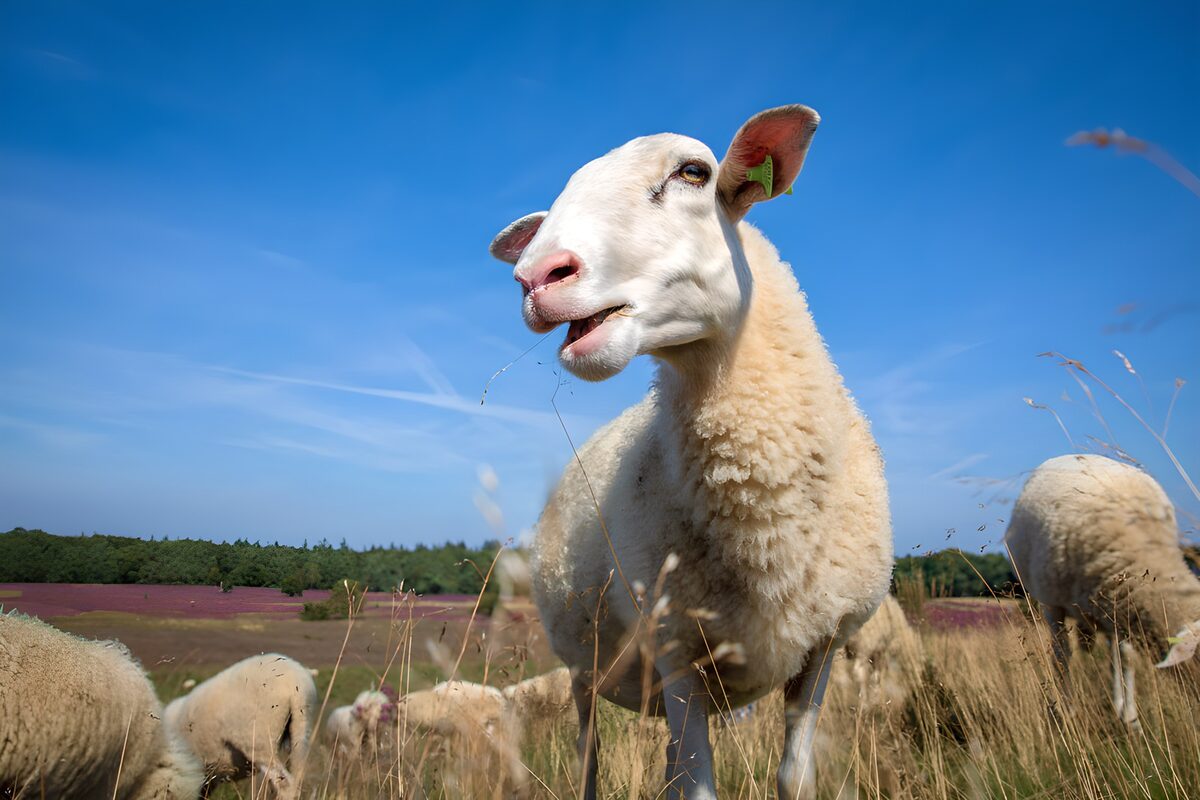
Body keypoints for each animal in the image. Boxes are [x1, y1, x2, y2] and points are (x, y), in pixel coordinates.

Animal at [488, 105, 893, 800]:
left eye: (693, 173)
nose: (536, 277)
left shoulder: (823, 646)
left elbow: (793, 778)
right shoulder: (676, 650)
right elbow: (698, 787)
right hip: (585, 672)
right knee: (592, 758)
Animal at [1005, 453, 1200, 728]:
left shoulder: (1125, 606)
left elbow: (1126, 659)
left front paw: (1130, 718)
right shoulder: (1053, 605)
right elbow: (1062, 656)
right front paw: (1067, 713)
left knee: (1113, 654)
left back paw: (1117, 704)